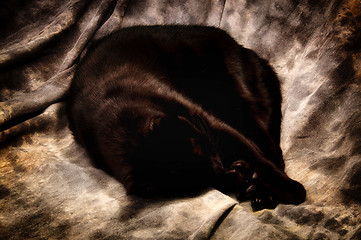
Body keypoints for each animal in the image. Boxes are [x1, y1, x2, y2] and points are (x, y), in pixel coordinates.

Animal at [66, 24, 306, 210]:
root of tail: (241, 47)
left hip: (241, 106)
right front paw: (238, 176)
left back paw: (265, 194)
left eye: (205, 146)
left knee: (271, 150)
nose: (220, 164)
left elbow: (257, 158)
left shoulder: (213, 124)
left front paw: (291, 190)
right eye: (201, 179)